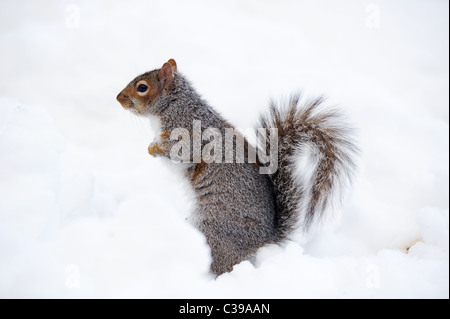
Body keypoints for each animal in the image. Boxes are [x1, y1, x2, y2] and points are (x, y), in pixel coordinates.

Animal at [117, 60, 358, 278]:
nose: (118, 98)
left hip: (212, 229)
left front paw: (154, 147)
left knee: (220, 264)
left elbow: (182, 154)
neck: (174, 104)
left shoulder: (188, 134)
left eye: (142, 87)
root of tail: (263, 240)